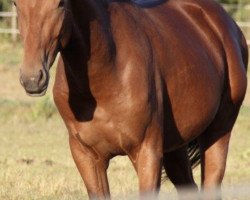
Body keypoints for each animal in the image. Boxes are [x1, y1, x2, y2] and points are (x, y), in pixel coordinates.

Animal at [14, 0, 247, 198]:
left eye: (60, 3)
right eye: (16, 4)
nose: (32, 78)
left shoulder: (147, 154)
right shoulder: (86, 157)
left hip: (218, 133)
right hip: (175, 147)